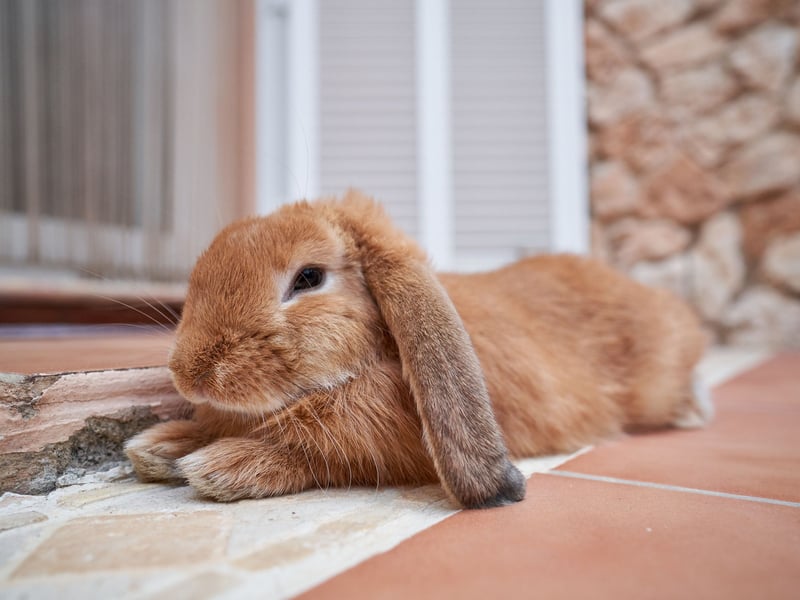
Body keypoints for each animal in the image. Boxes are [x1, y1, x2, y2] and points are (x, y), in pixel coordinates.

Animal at [125, 190, 711, 509]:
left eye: (308, 278)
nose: (190, 374)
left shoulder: (376, 450)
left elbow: (304, 455)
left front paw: (218, 467)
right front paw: (159, 446)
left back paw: (696, 408)